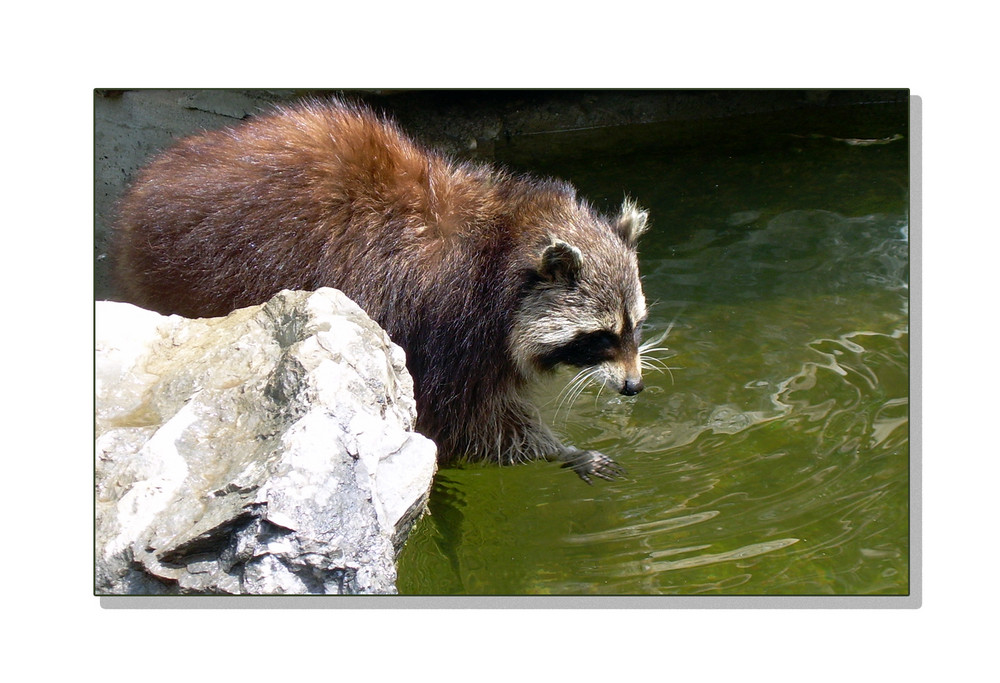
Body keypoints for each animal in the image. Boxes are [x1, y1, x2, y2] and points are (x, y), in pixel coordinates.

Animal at [113, 99, 652, 484]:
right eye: (601, 335)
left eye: (636, 326)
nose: (634, 387)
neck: (504, 243)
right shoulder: (450, 326)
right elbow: (471, 425)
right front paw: (561, 450)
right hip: (208, 267)